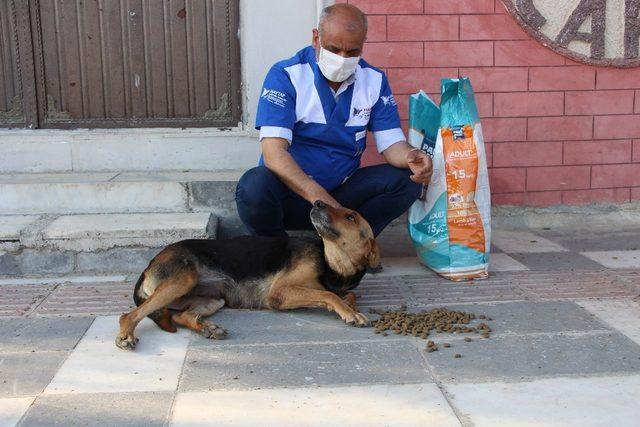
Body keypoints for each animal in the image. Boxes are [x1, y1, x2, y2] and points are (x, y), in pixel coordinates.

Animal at [115, 201, 378, 352]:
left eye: (351, 217)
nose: (318, 201)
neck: (332, 265)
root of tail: (150, 264)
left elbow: (347, 295)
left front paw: (350, 307)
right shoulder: (278, 293)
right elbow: (329, 296)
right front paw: (350, 313)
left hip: (213, 299)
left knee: (181, 316)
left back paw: (208, 328)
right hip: (182, 280)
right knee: (129, 315)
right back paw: (125, 337)